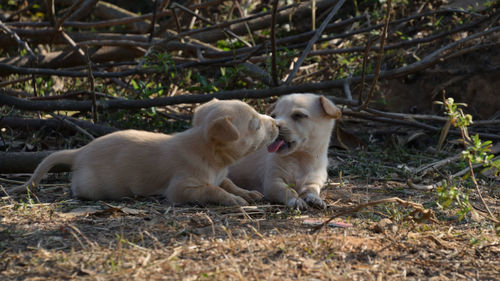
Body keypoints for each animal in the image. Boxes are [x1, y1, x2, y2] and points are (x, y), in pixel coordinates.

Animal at [7, 99, 278, 206]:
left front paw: (247, 193)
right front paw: (234, 200)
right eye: (256, 125)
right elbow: (214, 190)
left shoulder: (221, 175)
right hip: (92, 186)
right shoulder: (182, 188)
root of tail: (80, 152)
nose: (277, 124)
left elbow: (229, 183)